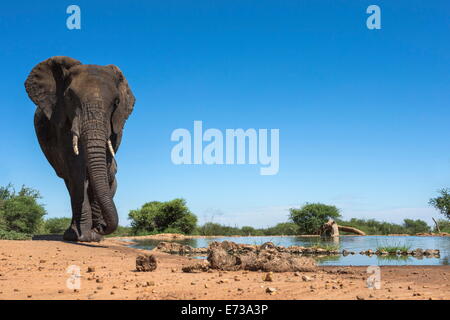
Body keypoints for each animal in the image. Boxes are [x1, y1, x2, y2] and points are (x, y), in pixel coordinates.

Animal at [24, 56, 135, 241]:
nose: (102, 227)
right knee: (70, 182)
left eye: (116, 102)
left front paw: (94, 236)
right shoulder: (61, 122)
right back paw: (71, 234)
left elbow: (103, 165)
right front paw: (83, 237)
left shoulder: (116, 125)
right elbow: (76, 168)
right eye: (69, 97)